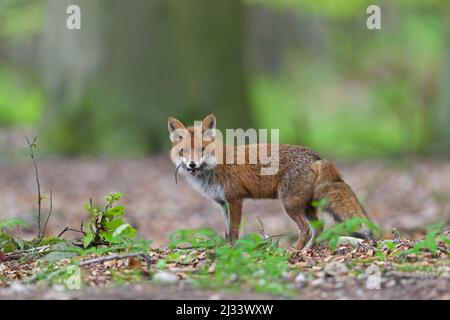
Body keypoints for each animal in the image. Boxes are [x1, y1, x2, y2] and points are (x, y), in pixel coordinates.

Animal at [168, 114, 372, 249]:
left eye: (202, 149)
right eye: (183, 151)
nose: (192, 164)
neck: (215, 166)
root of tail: (316, 157)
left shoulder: (235, 200)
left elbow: (233, 231)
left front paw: (234, 251)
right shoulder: (223, 204)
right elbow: (227, 233)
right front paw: (227, 249)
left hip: (289, 204)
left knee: (305, 228)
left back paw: (293, 250)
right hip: (305, 206)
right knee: (318, 227)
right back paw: (307, 250)